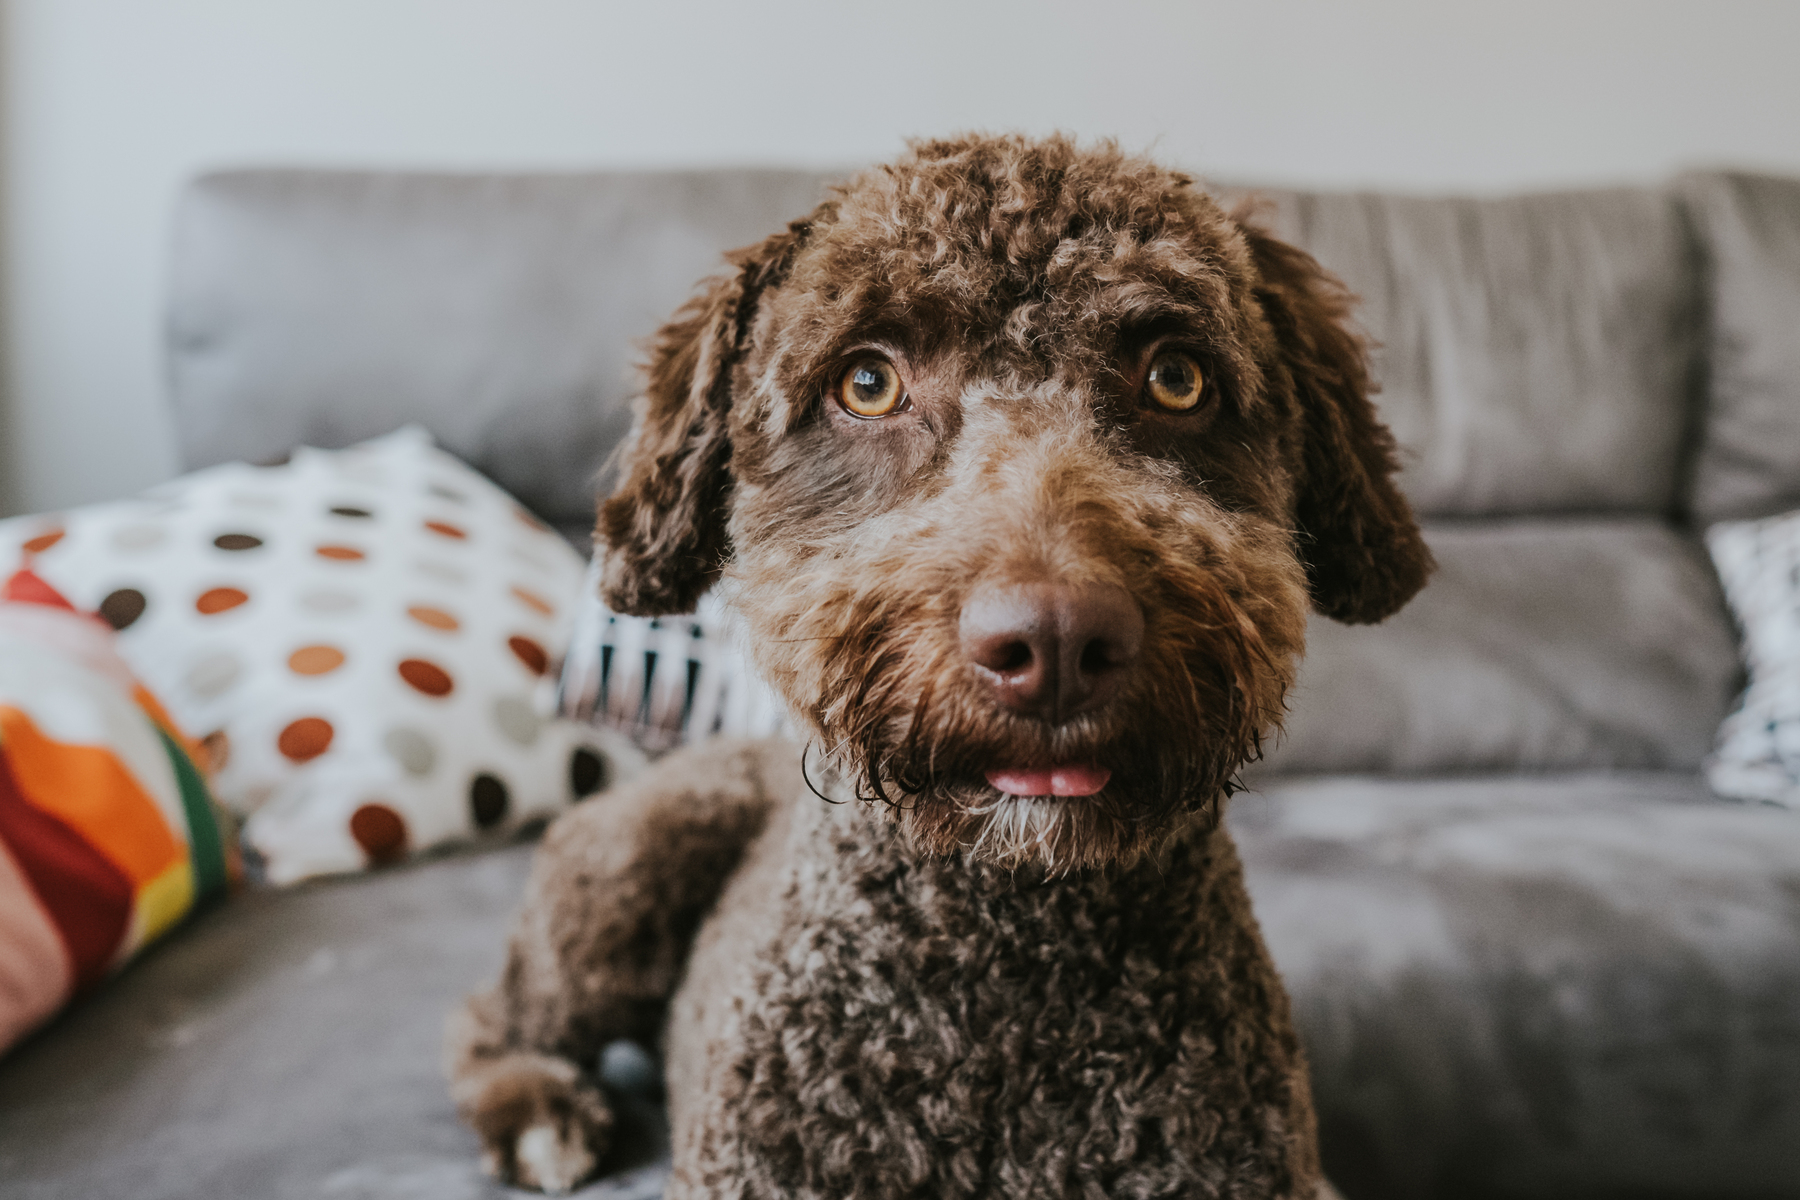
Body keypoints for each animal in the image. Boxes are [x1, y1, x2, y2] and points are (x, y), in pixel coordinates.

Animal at [442, 135, 1425, 1194]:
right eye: (867, 384)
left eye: (1177, 377)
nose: (1054, 642)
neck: (1011, 976)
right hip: (624, 871)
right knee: (496, 1017)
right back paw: (538, 1109)